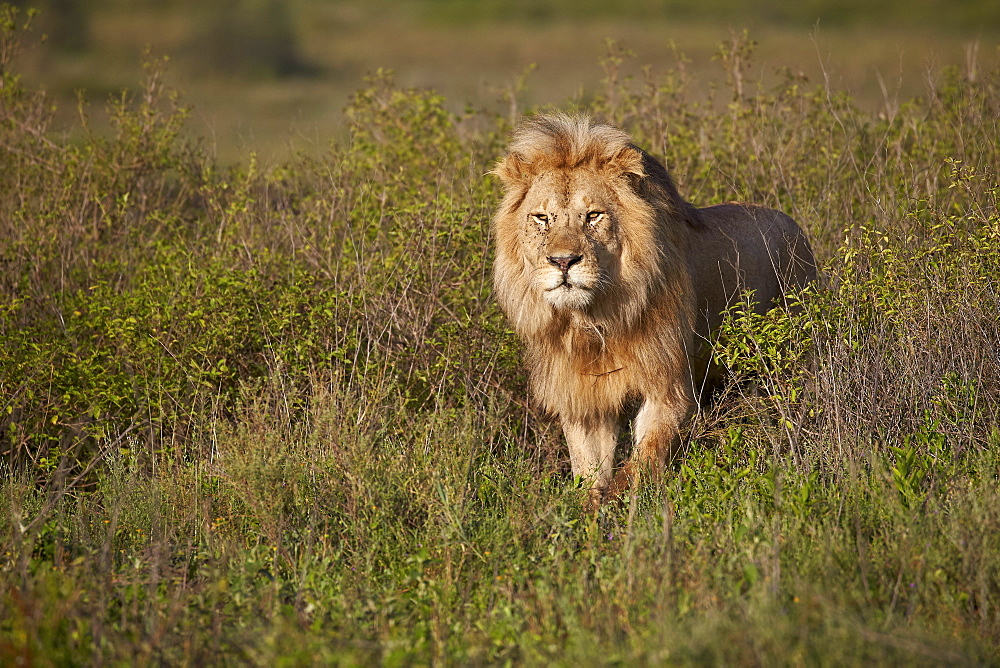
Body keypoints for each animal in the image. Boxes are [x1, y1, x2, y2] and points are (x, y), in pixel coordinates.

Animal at [494, 112, 820, 504]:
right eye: (542, 218)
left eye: (593, 215)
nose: (562, 261)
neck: (594, 319)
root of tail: (795, 225)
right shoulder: (584, 397)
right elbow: (588, 472)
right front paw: (590, 512)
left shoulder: (668, 384)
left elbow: (643, 461)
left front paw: (628, 507)